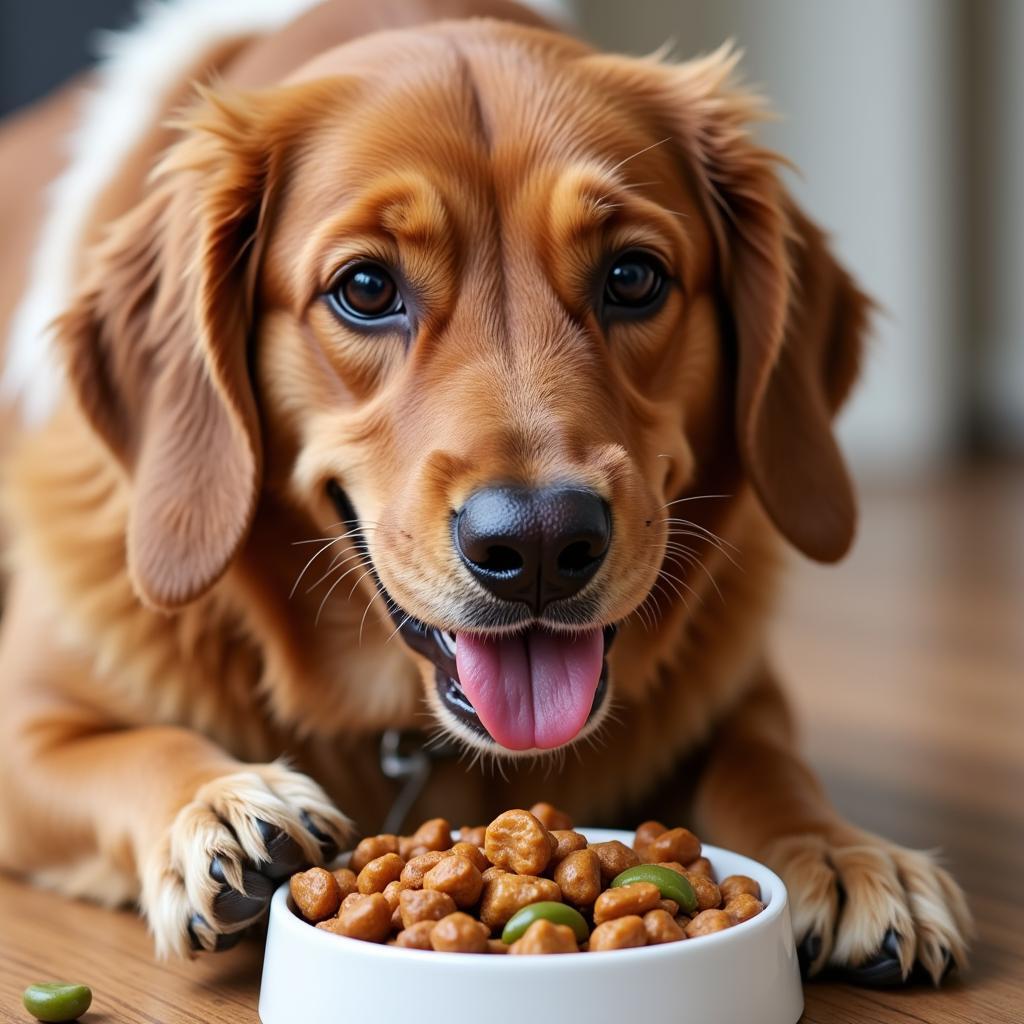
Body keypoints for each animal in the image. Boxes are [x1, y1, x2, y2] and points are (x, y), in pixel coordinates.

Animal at [0, 0, 966, 978]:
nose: (539, 543)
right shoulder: (25, 719)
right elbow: (139, 748)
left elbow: (768, 764)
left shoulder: (741, 693)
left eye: (633, 276)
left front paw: (840, 850)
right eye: (365, 287)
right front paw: (222, 804)